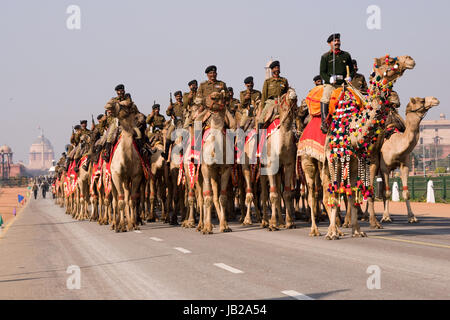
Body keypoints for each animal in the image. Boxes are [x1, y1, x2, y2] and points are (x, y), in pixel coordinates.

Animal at [380, 96, 440, 224]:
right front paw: (386, 217)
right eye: (421, 100)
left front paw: (412, 217)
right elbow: (387, 192)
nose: (435, 99)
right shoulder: (384, 167)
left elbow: (406, 192)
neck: (395, 144)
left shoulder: (404, 165)